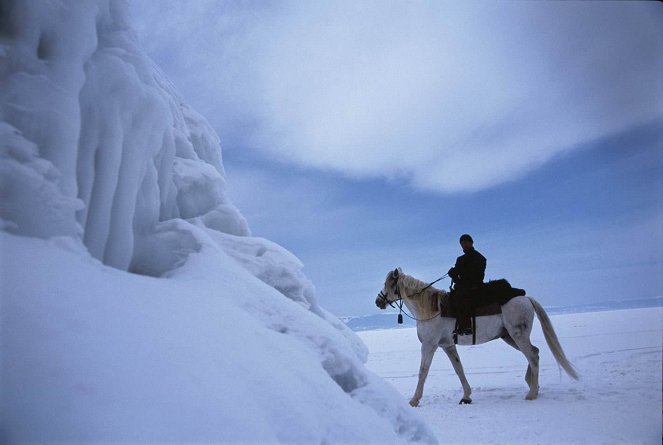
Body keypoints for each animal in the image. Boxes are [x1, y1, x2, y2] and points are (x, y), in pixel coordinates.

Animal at [376, 268, 580, 406]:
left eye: (389, 284)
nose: (378, 301)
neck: (431, 310)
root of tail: (526, 298)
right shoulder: (448, 346)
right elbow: (459, 369)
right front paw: (466, 396)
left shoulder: (429, 345)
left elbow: (423, 371)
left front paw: (414, 400)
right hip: (509, 337)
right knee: (535, 352)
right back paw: (531, 385)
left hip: (518, 336)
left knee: (532, 355)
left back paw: (532, 394)